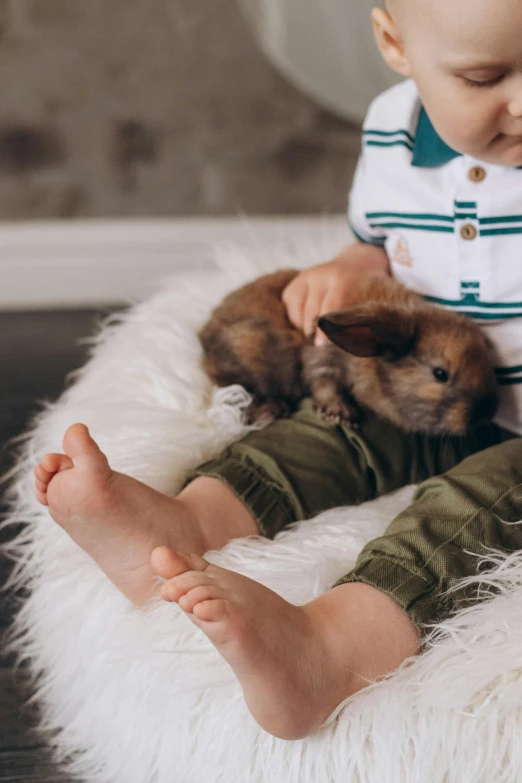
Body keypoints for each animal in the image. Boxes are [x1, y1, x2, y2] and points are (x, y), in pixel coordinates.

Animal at [198, 272, 496, 438]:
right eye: (440, 373)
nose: (484, 414)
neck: (373, 358)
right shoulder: (322, 356)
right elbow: (323, 381)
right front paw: (341, 415)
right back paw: (272, 410)